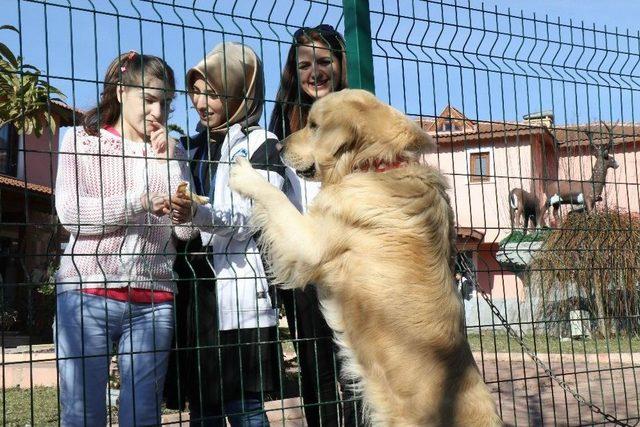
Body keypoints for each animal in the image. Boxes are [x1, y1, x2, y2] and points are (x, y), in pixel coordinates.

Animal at [228, 88, 502, 426]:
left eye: (314, 125)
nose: (279, 146)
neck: (375, 166)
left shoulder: (308, 244)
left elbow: (275, 197)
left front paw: (246, 175)